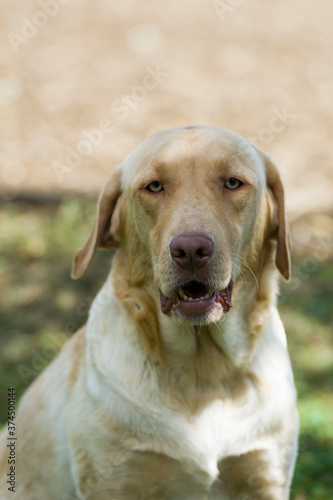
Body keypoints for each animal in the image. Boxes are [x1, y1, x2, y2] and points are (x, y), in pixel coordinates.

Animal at [0, 124, 296, 496]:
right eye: (154, 187)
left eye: (232, 182)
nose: (191, 250)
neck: (203, 373)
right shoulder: (113, 483)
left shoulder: (265, 476)